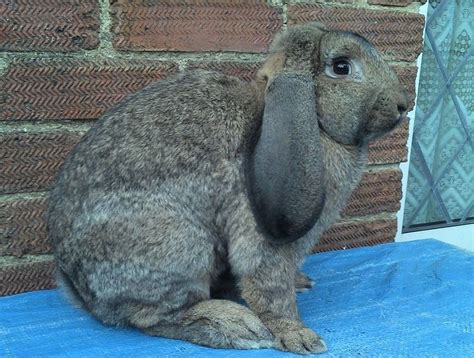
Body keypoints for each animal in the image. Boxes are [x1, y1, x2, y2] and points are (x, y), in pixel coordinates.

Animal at [48, 23, 408, 356]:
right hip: (179, 246)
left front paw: (299, 290)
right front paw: (298, 337)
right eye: (342, 67)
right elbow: (271, 289)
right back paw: (235, 327)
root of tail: (85, 295)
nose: (403, 105)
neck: (317, 124)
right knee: (155, 318)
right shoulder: (262, 242)